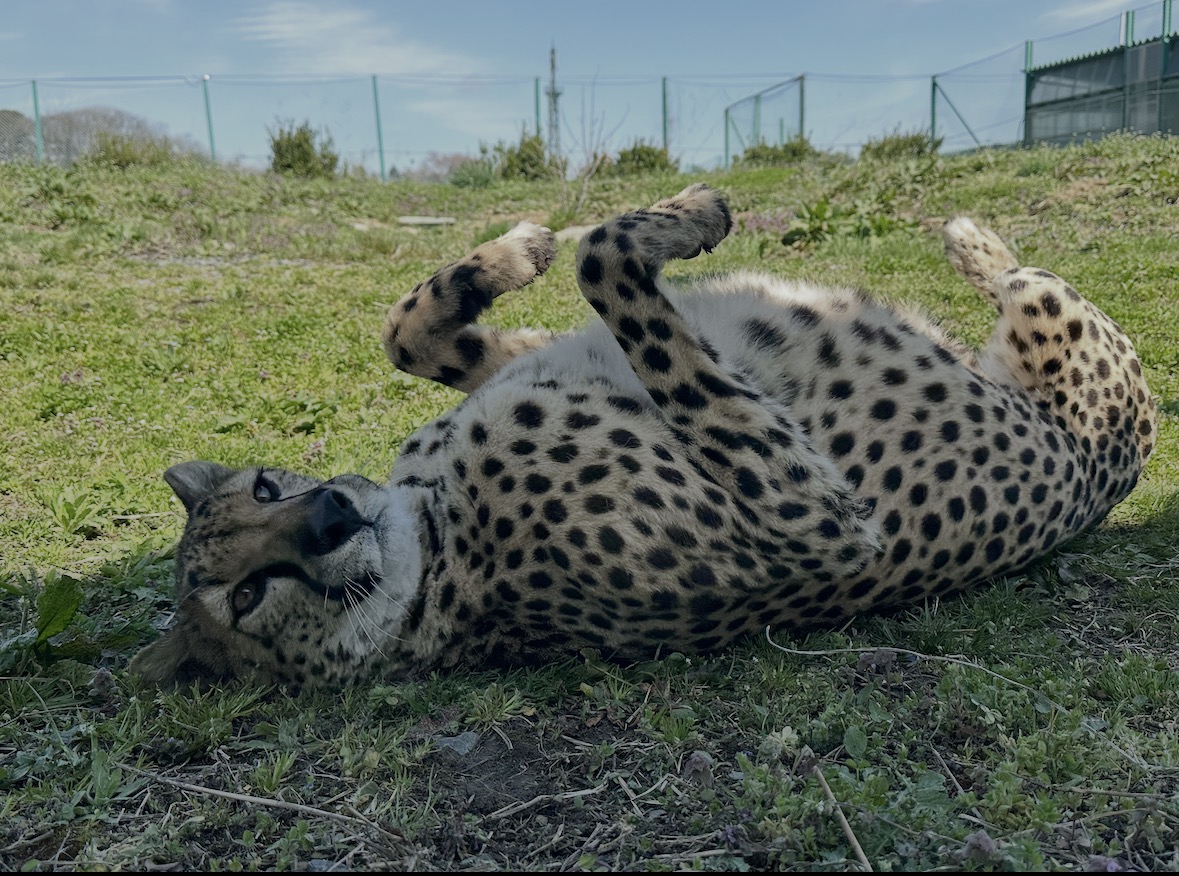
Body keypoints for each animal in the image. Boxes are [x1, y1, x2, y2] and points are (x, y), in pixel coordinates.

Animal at [129, 184, 1157, 689]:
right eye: (248, 597)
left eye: (267, 487)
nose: (332, 520)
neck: (436, 549)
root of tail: (1118, 471)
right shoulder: (816, 524)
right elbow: (606, 261)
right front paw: (691, 217)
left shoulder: (519, 363)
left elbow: (408, 332)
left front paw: (517, 251)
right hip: (1059, 322)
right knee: (1028, 275)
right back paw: (971, 236)